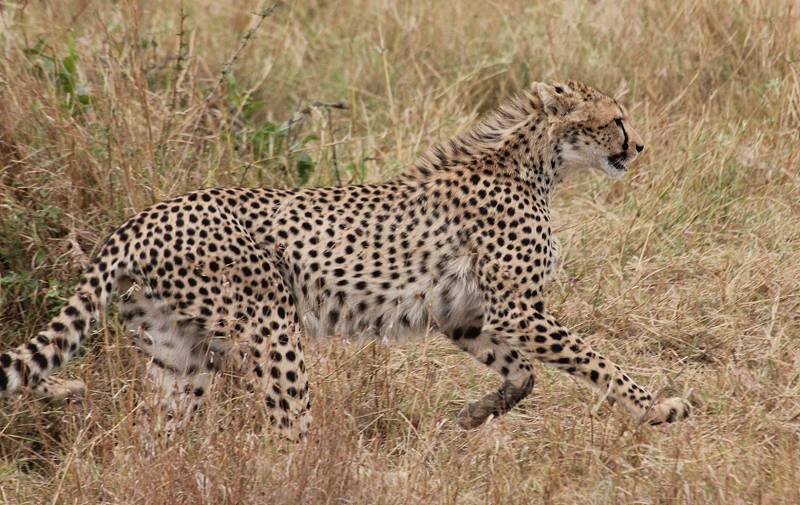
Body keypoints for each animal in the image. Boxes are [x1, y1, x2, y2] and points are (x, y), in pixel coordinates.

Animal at [0, 79, 688, 438]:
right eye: (617, 119)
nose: (641, 146)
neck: (537, 163)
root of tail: (144, 215)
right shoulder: (516, 310)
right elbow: (594, 360)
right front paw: (655, 406)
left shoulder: (466, 316)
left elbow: (523, 373)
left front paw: (474, 414)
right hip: (268, 327)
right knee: (286, 430)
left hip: (178, 353)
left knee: (165, 436)